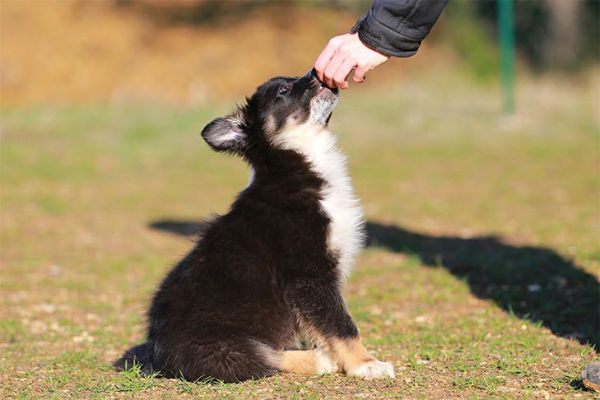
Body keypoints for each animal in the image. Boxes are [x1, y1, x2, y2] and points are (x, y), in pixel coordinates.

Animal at [120, 70, 396, 382]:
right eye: (283, 91)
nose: (318, 72)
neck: (295, 165)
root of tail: (157, 355)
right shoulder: (309, 276)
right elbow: (342, 325)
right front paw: (366, 364)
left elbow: (324, 324)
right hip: (222, 347)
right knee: (265, 356)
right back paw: (319, 360)